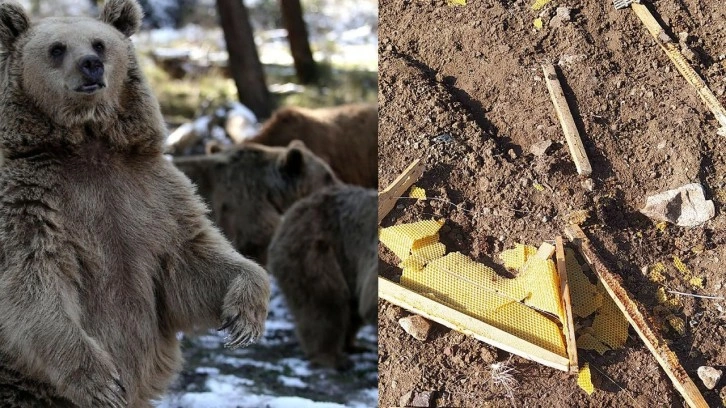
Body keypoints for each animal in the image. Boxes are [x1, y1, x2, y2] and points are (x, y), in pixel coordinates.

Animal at [0, 1, 270, 406]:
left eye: (100, 43)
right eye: (57, 48)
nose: (91, 65)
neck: (88, 143)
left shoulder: (151, 193)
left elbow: (193, 260)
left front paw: (244, 320)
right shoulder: (30, 201)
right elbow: (33, 280)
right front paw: (103, 383)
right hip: (18, 383)